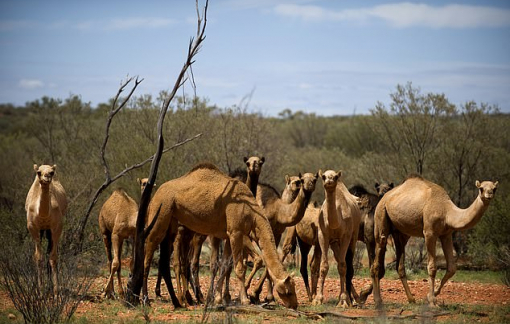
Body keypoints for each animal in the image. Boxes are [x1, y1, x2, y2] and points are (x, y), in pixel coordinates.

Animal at [25, 165, 67, 296]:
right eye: (39, 172)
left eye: (52, 172)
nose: (46, 177)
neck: (43, 214)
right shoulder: (33, 228)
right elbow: (38, 257)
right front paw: (40, 291)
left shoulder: (57, 227)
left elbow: (53, 257)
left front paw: (56, 293)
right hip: (43, 230)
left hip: (49, 231)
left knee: (49, 250)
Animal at [142, 165, 298, 308]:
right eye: (289, 291)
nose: (295, 305)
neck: (253, 214)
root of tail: (156, 193)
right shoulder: (236, 232)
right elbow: (239, 268)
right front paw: (245, 300)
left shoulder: (228, 235)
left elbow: (223, 266)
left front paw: (217, 299)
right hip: (161, 212)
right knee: (149, 249)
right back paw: (146, 299)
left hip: (172, 222)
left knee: (165, 260)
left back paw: (178, 302)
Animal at [370, 176, 498, 308]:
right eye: (481, 188)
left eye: (494, 188)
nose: (489, 195)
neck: (446, 211)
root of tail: (384, 198)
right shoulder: (429, 233)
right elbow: (432, 267)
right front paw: (432, 301)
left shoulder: (446, 234)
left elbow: (452, 268)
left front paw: (430, 296)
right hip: (381, 215)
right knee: (377, 255)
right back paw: (378, 301)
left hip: (400, 232)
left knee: (399, 265)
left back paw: (411, 299)